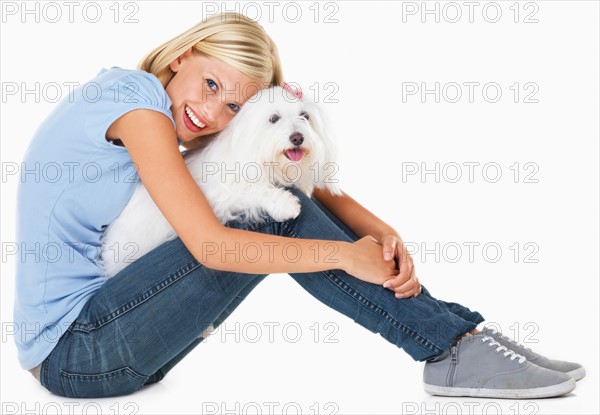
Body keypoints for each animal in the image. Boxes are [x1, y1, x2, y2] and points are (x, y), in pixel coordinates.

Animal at [99, 85, 342, 280]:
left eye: (305, 116)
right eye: (274, 118)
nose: (297, 138)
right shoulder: (220, 198)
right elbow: (256, 191)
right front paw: (286, 204)